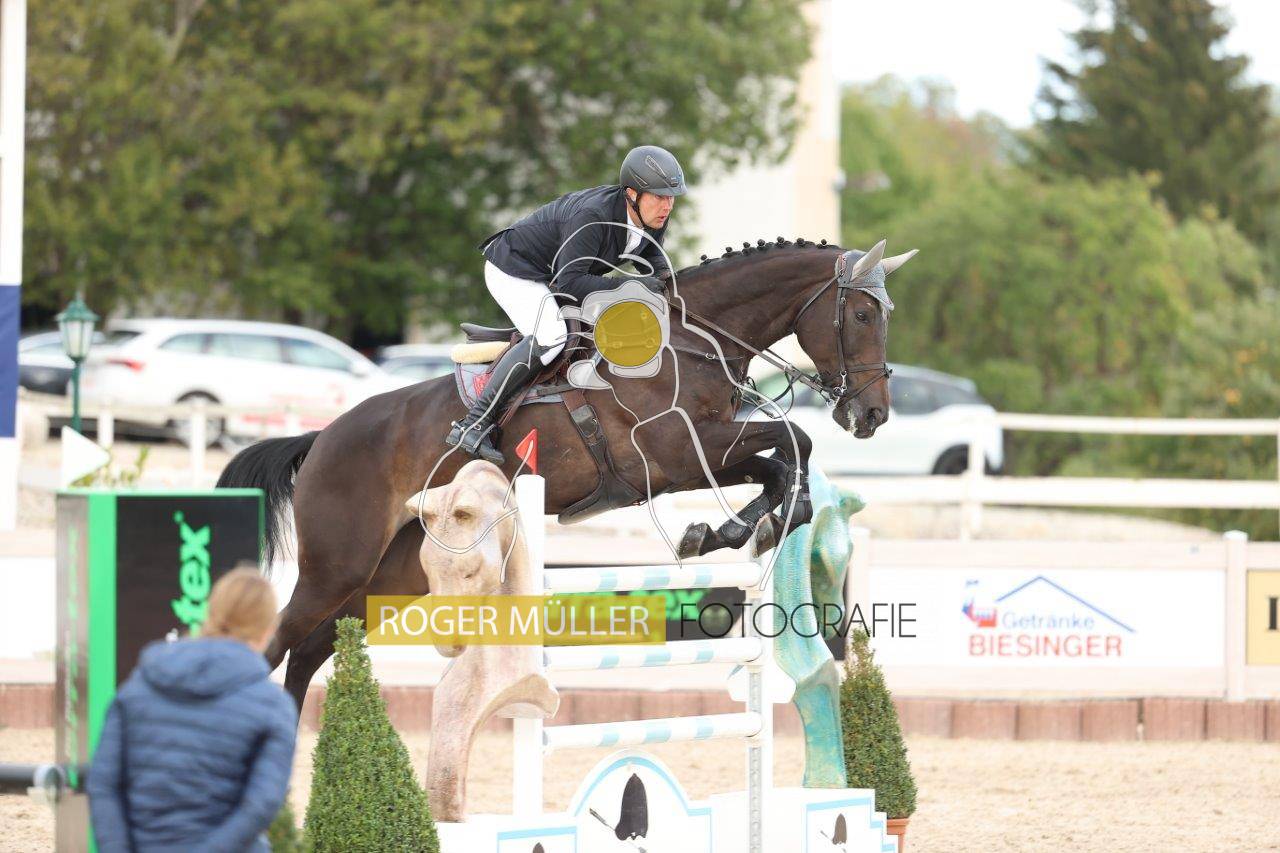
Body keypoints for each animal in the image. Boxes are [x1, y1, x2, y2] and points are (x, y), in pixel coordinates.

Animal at [216, 237, 913, 709]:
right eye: (860, 316)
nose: (872, 414)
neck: (688, 341)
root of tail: (321, 437)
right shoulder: (676, 453)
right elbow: (792, 441)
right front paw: (732, 531)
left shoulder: (691, 461)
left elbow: (782, 460)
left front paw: (734, 532)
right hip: (337, 565)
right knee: (279, 641)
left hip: (389, 574)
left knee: (309, 652)